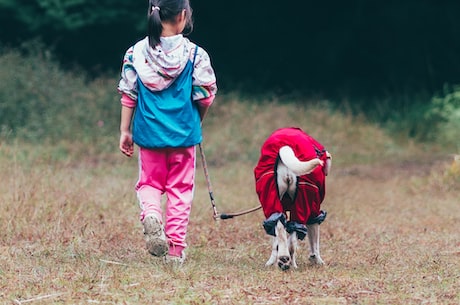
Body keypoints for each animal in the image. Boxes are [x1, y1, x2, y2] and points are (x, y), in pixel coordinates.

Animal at [255, 127, 330, 270]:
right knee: (293, 240)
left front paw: (271, 261)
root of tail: (286, 147)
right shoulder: (314, 212)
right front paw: (316, 259)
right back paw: (291, 263)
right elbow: (315, 242)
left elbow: (275, 243)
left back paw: (283, 259)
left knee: (280, 228)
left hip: (272, 199)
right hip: (303, 201)